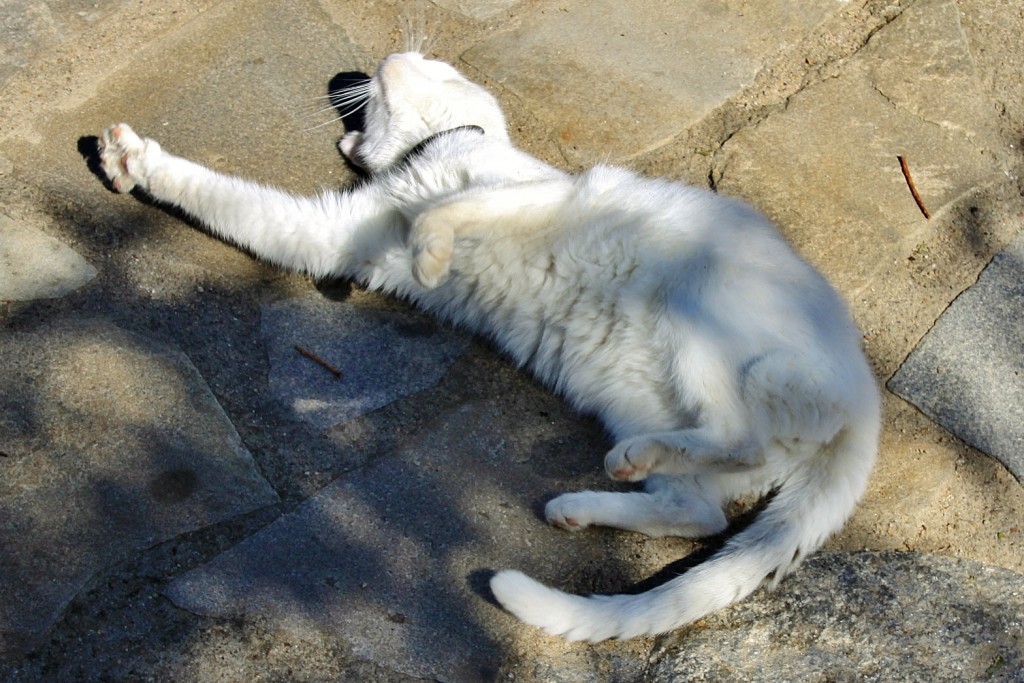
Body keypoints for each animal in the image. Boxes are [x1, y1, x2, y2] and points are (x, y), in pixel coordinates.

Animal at [97, 52, 880, 643]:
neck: (421, 159)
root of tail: (866, 400)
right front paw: (132, 161)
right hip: (635, 395)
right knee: (703, 509)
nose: (386, 57)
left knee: (736, 439)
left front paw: (432, 255)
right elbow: (223, 195)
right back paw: (589, 497)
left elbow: (445, 211)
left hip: (700, 308)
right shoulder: (328, 235)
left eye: (432, 62)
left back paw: (627, 467)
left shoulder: (532, 196)